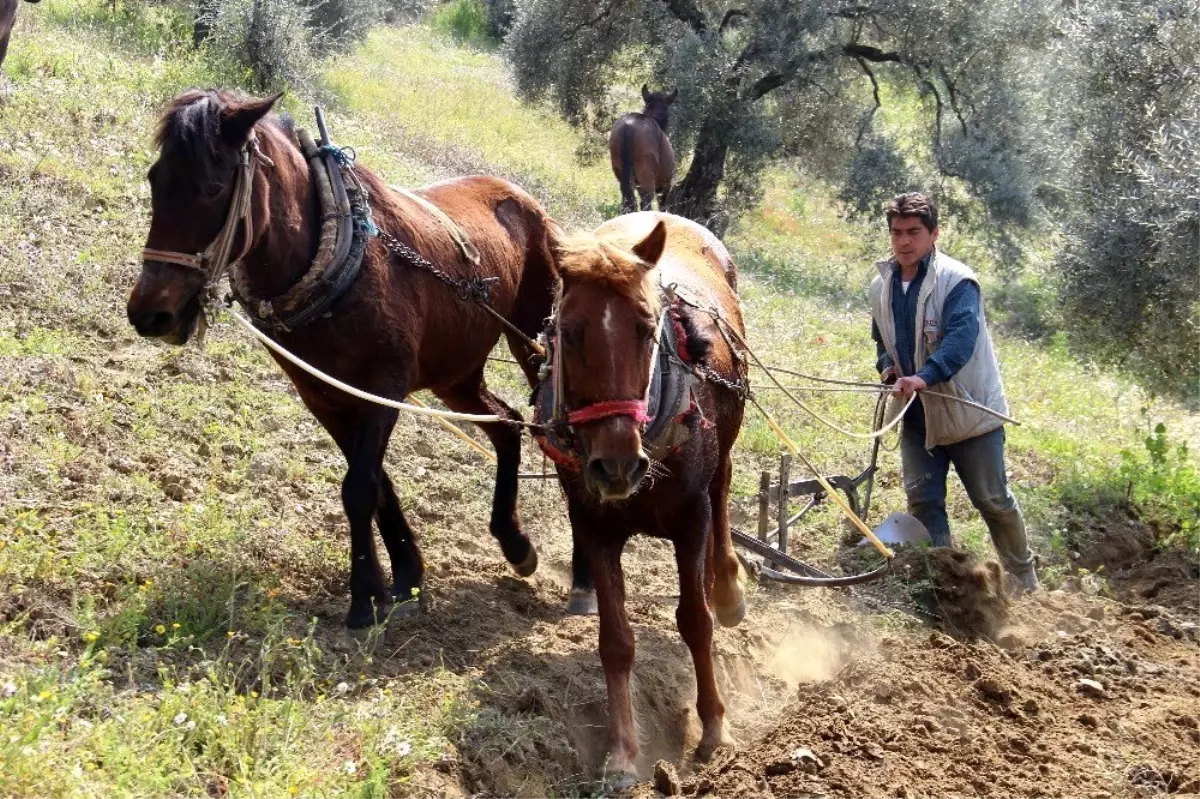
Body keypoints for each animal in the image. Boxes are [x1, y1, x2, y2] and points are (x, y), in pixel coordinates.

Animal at [129, 91, 559, 628]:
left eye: (211, 187)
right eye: (155, 178)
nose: (150, 314)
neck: (333, 253)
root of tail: (524, 199)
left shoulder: (384, 386)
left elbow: (359, 487)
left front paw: (362, 599)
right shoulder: (324, 394)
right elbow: (376, 482)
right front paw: (401, 576)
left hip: (536, 341)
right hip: (455, 374)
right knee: (507, 423)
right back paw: (515, 542)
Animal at [547, 208, 748, 782]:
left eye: (645, 327)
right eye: (568, 332)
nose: (617, 464)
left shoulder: (690, 517)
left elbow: (695, 622)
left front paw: (714, 727)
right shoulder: (593, 525)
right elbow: (615, 642)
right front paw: (622, 753)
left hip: (723, 453)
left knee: (723, 490)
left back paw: (726, 585)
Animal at [609, 84, 676, 214]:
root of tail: (628, 127)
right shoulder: (665, 184)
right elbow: (663, 205)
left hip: (622, 176)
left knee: (628, 202)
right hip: (647, 179)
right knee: (646, 203)